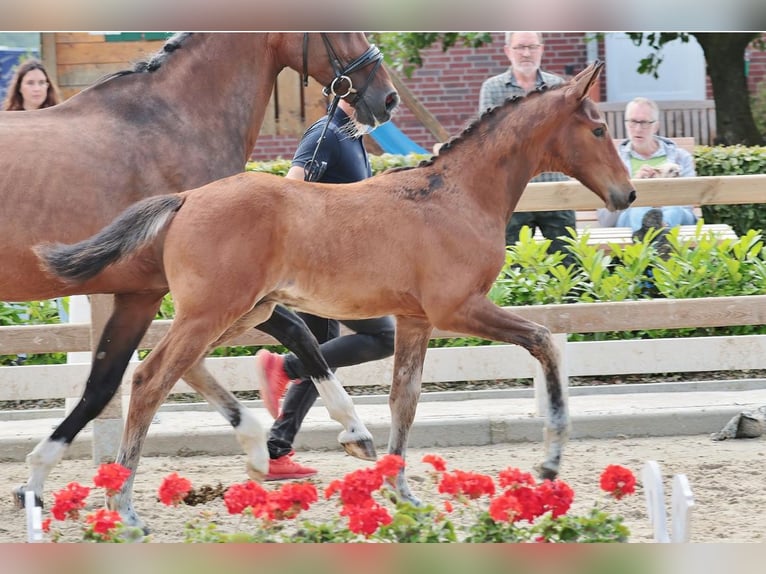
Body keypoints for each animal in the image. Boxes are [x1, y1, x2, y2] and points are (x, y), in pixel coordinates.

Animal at [6, 33, 400, 512]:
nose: (388, 98)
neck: (175, 123)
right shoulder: (221, 290)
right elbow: (299, 336)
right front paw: (351, 431)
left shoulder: (149, 294)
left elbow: (106, 383)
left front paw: (34, 480)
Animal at [36, 59, 636, 532]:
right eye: (598, 129)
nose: (627, 194)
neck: (457, 195)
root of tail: (184, 198)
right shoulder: (458, 309)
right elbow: (544, 340)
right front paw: (550, 464)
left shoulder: (415, 320)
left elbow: (404, 400)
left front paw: (402, 492)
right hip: (215, 311)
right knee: (150, 378)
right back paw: (123, 505)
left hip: (240, 311)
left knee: (178, 366)